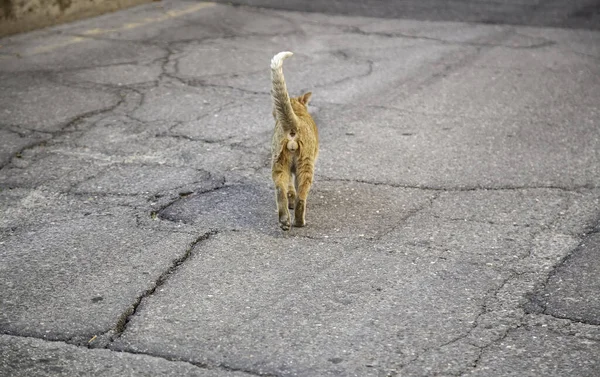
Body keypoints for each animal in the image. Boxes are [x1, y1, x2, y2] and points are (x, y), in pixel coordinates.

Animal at [270, 50, 318, 229]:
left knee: (280, 190)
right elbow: (297, 190)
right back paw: (299, 221)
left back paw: (284, 221)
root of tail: (293, 124)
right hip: (306, 164)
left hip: (279, 161)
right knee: (302, 195)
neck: (298, 111)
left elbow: (290, 188)